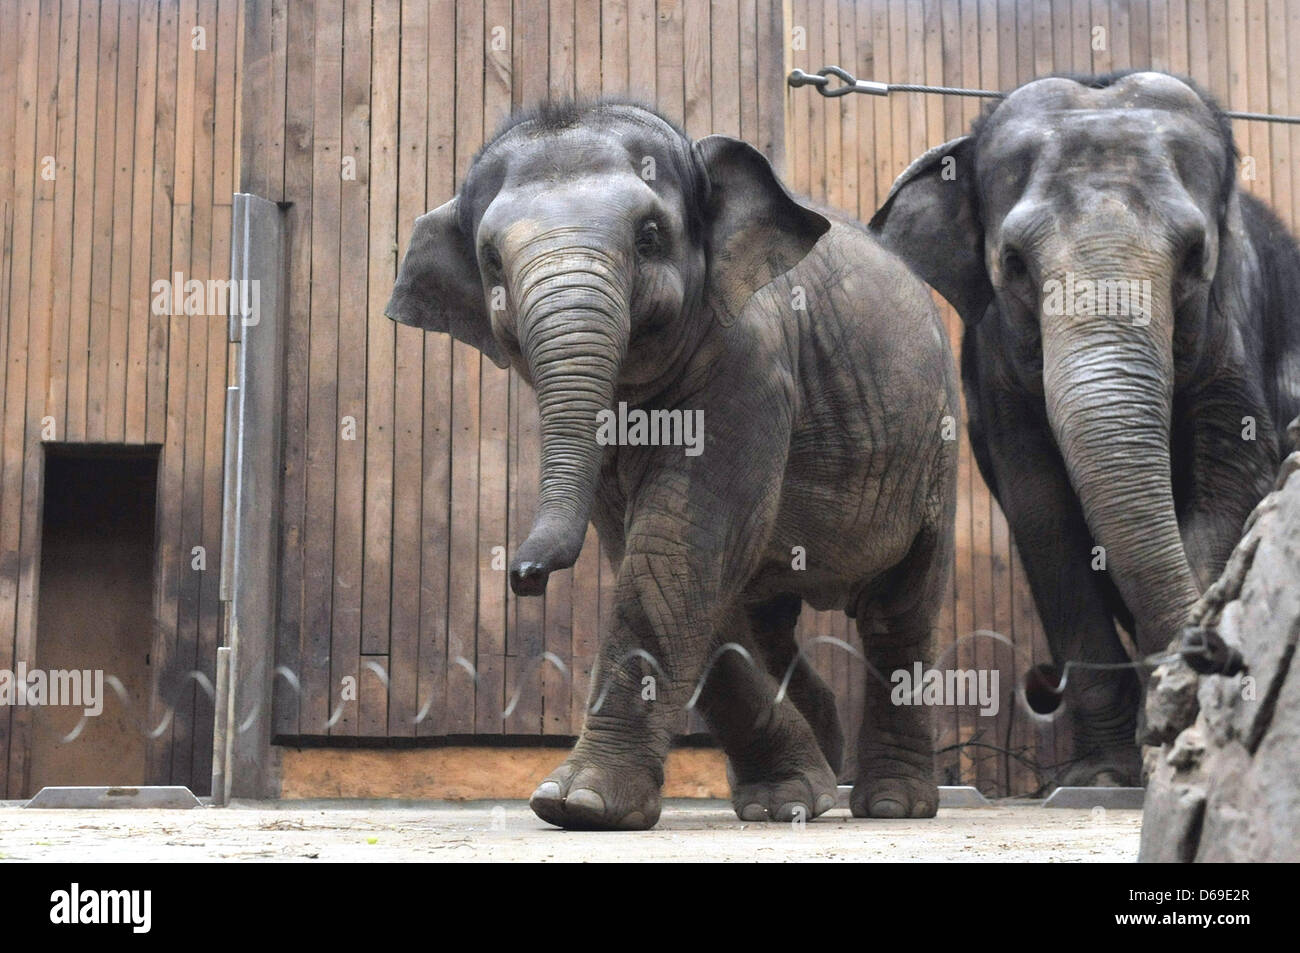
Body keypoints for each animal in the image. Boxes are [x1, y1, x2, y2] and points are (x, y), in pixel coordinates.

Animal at [384, 98, 956, 826]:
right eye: (489, 260)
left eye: (651, 236)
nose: (524, 575)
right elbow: (657, 554)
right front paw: (788, 797)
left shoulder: (752, 363)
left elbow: (680, 543)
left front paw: (579, 803)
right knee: (767, 618)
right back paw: (806, 791)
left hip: (936, 443)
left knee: (899, 608)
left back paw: (890, 803)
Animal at [868, 70, 1300, 785]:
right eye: (1014, 263)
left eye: (1195, 256)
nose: (1216, 655)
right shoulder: (995, 369)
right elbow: (1043, 513)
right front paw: (1104, 776)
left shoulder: (1234, 329)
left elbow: (1228, 487)